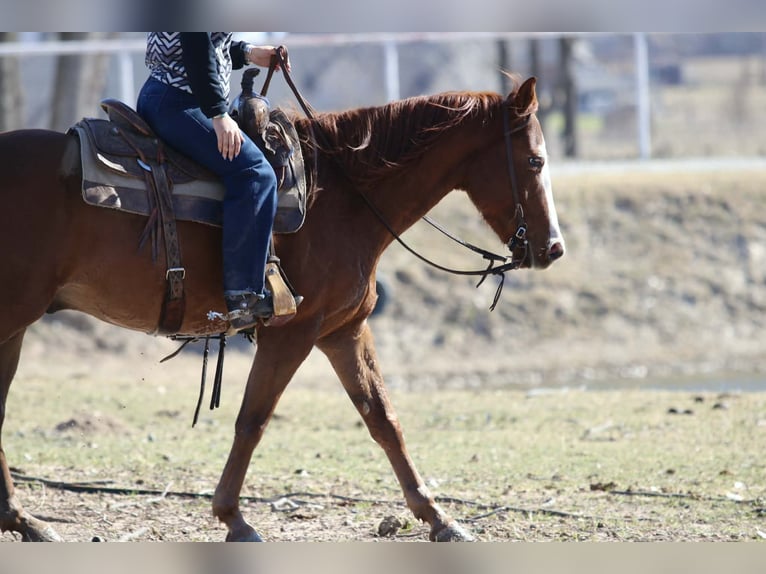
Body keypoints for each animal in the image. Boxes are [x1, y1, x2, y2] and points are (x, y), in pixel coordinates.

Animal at [0, 76, 564, 542]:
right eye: (535, 161)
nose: (554, 248)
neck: (343, 197)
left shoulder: (344, 331)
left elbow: (383, 418)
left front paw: (439, 518)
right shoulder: (293, 333)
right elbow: (253, 419)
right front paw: (233, 518)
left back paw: (24, 521)